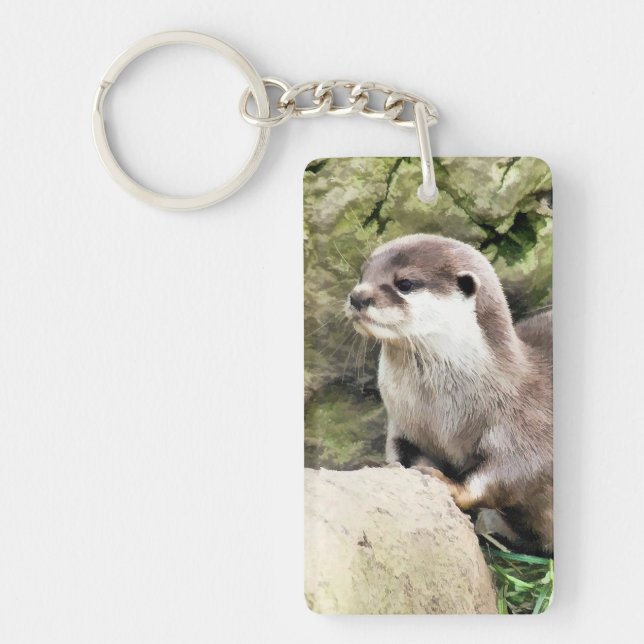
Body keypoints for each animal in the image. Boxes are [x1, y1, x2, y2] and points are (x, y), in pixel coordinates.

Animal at [345, 234, 552, 553]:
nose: (357, 296)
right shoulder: (403, 425)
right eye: (362, 274)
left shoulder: (528, 423)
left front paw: (450, 485)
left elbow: (517, 472)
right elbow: (400, 452)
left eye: (405, 283)